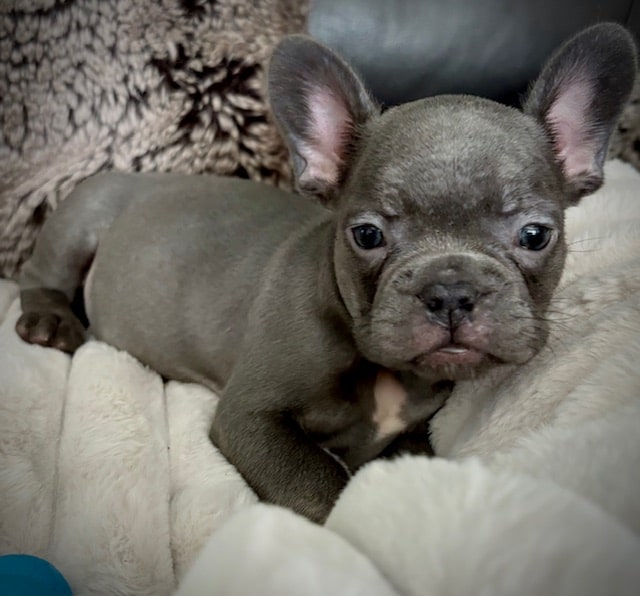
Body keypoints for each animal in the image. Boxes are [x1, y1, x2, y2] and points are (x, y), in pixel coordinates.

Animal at [15, 23, 636, 522]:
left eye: (535, 235)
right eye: (367, 235)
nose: (450, 290)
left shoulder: (416, 432)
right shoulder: (252, 418)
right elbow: (322, 486)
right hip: (82, 216)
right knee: (38, 274)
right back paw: (50, 323)